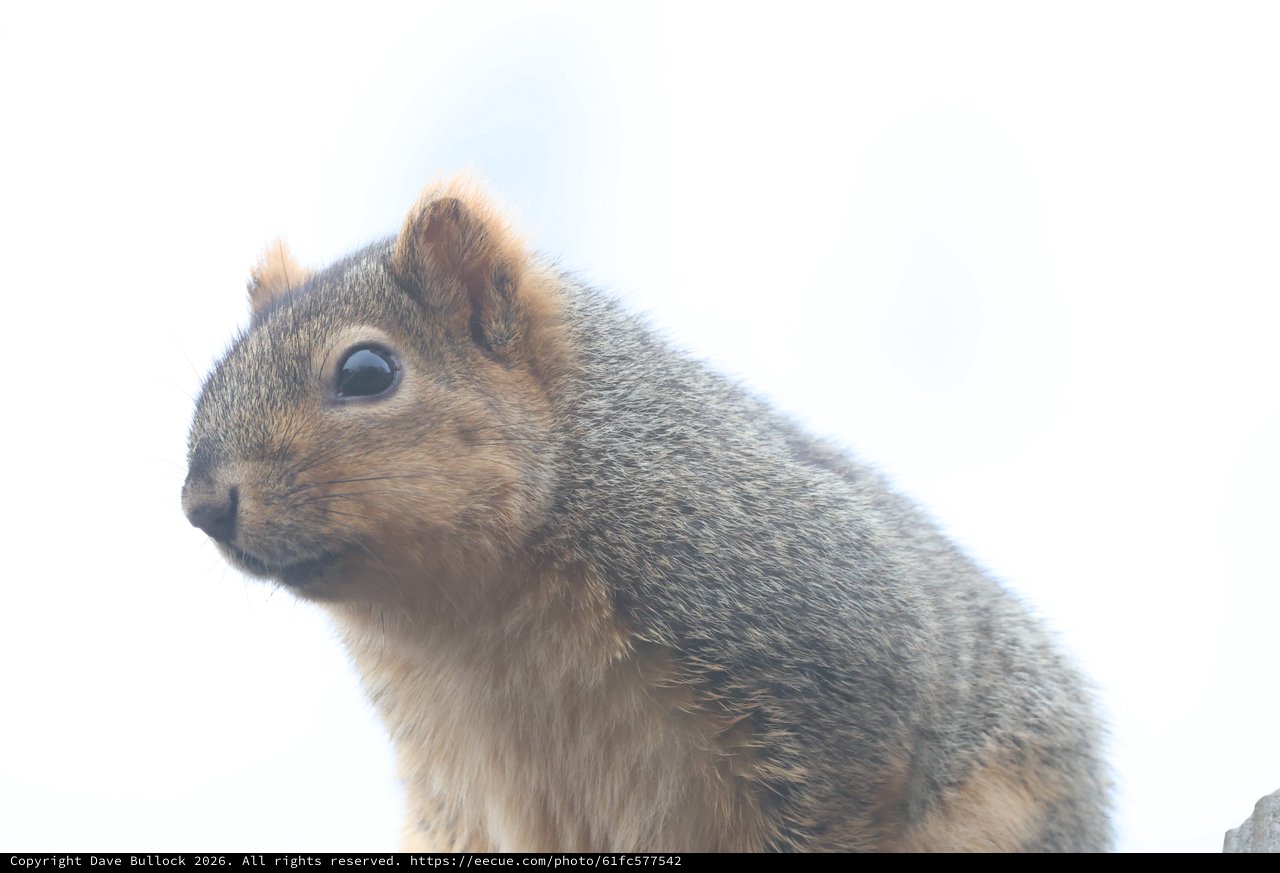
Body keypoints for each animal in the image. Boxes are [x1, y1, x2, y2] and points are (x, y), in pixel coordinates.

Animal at [182, 177, 1111, 852]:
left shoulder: (837, 656)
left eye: (368, 371)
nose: (202, 503)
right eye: (221, 366)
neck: (474, 616)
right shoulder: (454, 790)